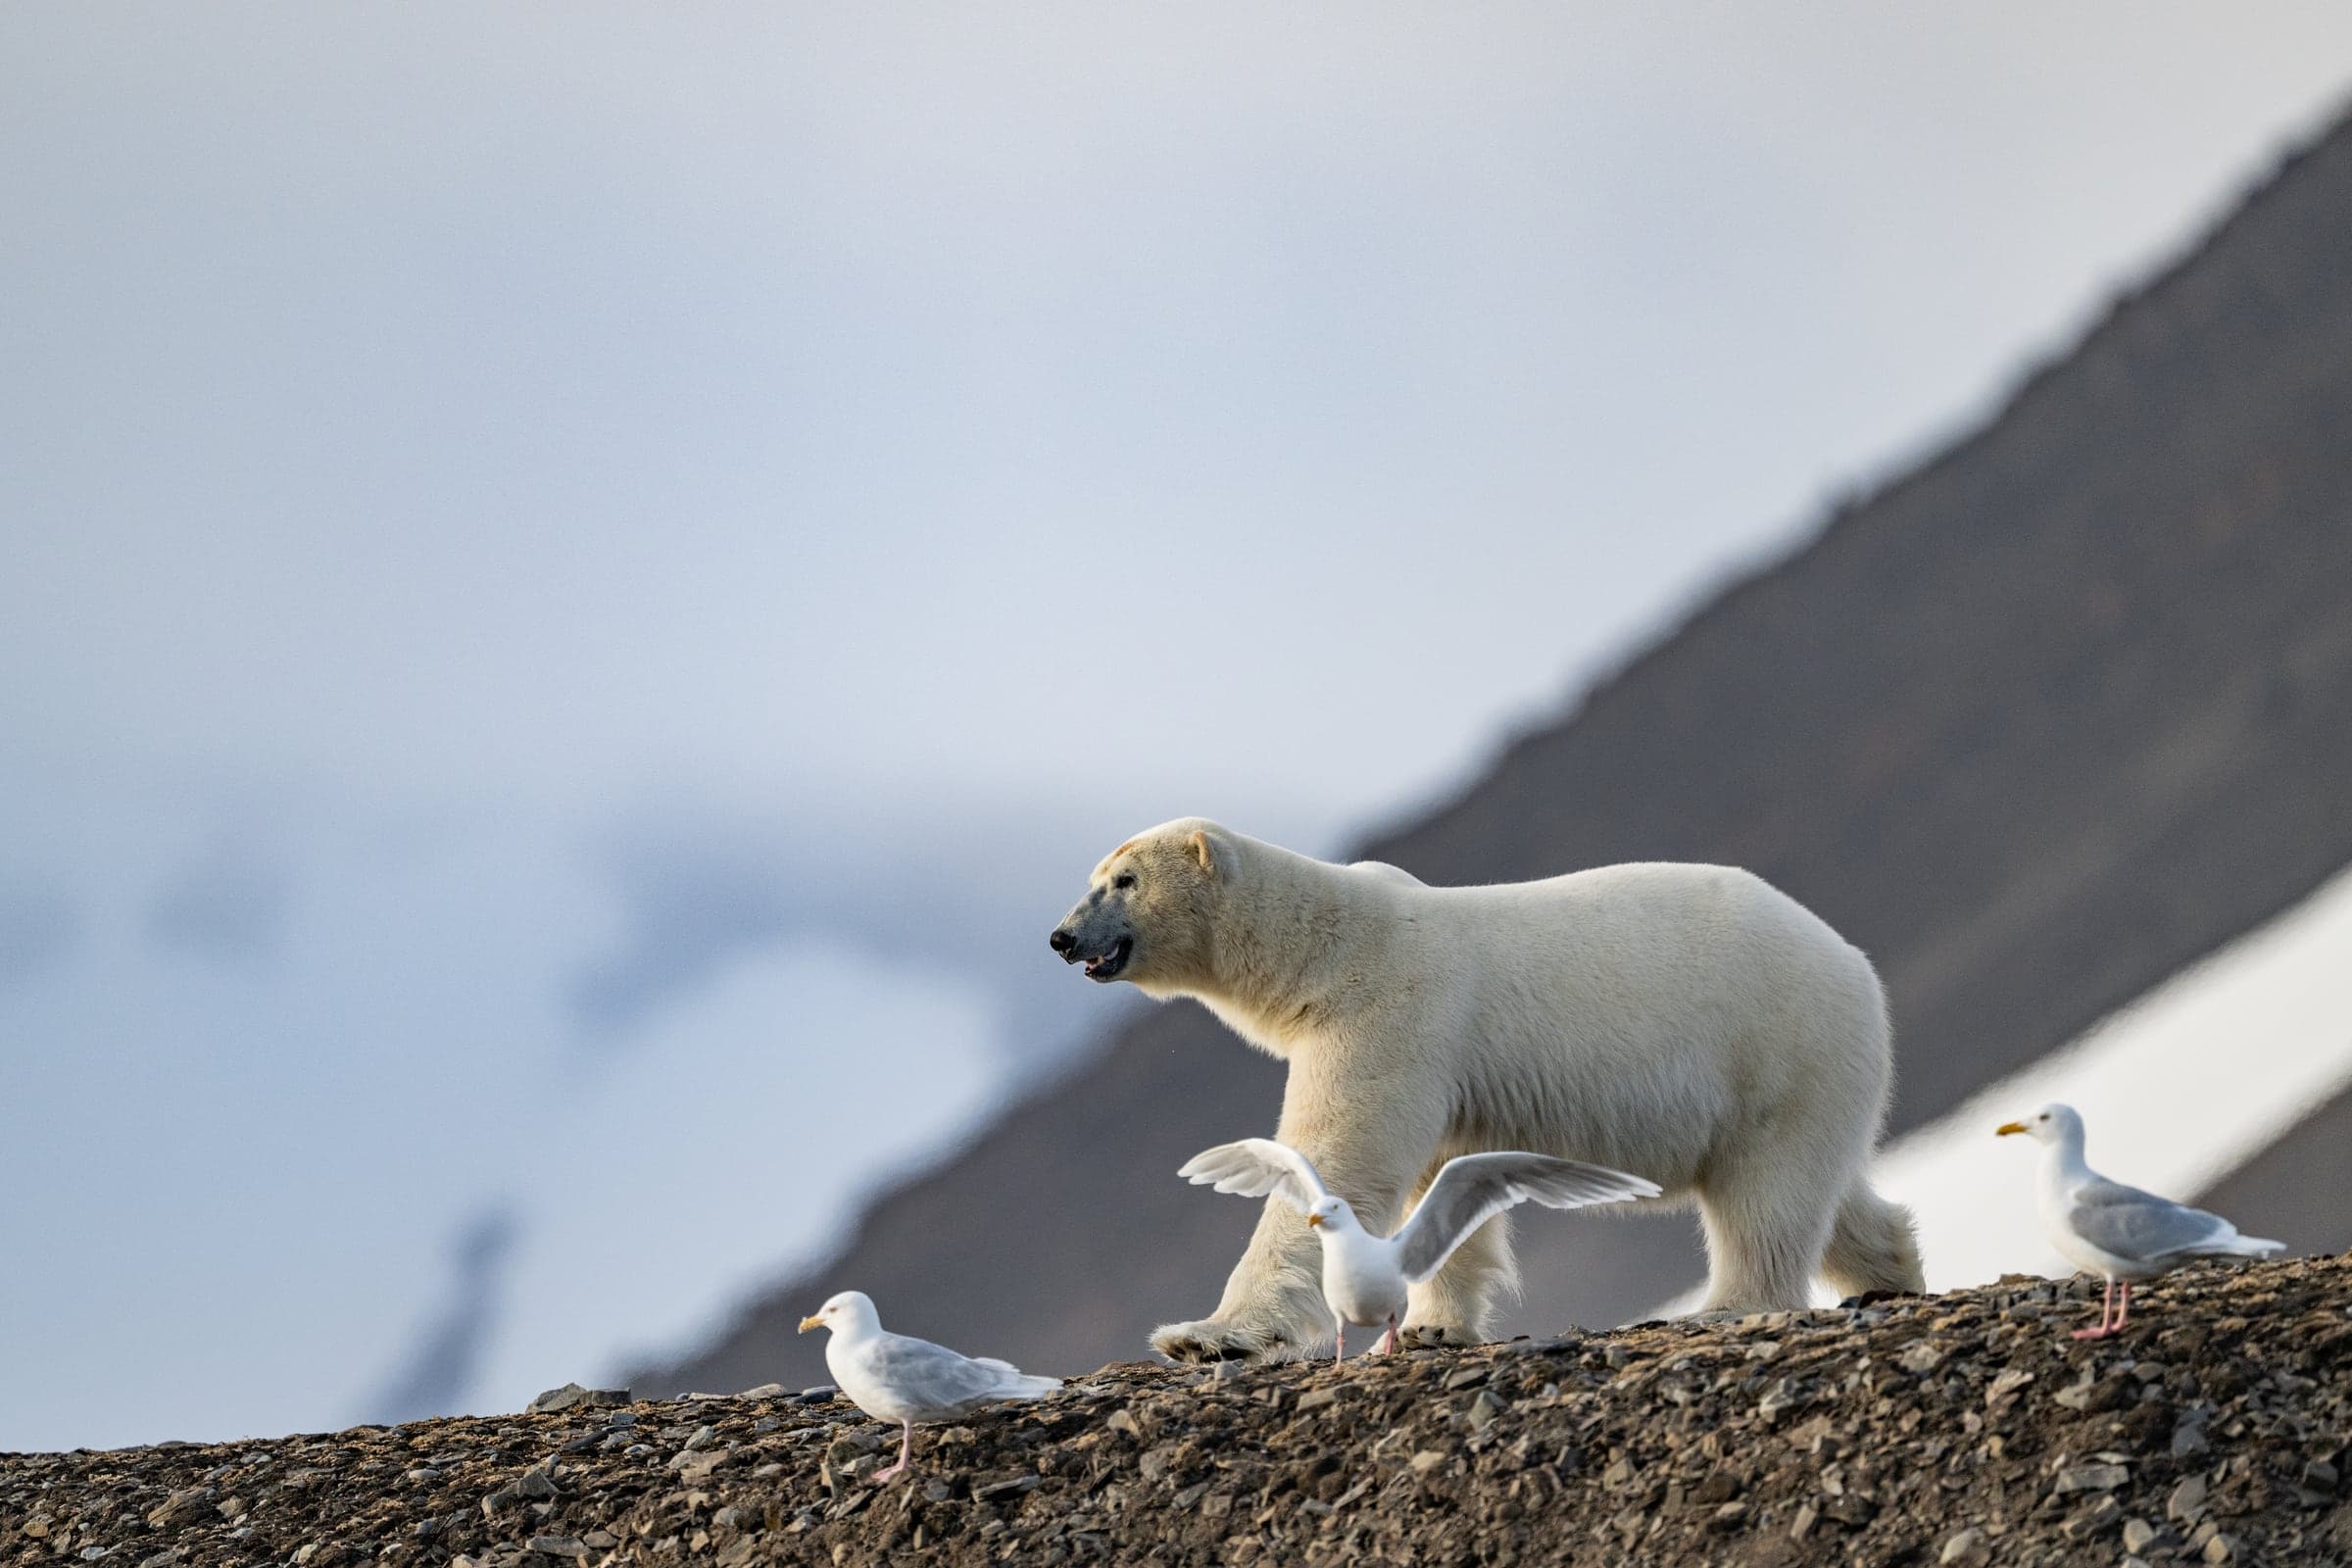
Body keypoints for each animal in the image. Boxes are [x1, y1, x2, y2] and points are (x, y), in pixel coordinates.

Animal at [1048, 818, 1922, 1361]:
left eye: (1124, 880)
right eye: (1094, 877)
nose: (1060, 937)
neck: (1329, 946)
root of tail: (1851, 960)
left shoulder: (1389, 1014)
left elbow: (1334, 1162)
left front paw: (1205, 1335)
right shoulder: (1445, 1076)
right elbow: (1444, 1189)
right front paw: (1435, 1329)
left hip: (1773, 1047)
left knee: (1764, 1197)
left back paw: (1729, 1304)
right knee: (1826, 1193)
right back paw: (1890, 1272)